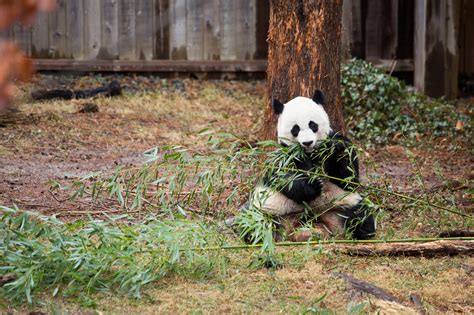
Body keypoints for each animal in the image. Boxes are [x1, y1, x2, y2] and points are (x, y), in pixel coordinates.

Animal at [250, 89, 376, 242]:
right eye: (295, 129)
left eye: (313, 125)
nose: (307, 142)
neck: (310, 153)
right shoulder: (283, 156)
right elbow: (283, 178)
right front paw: (313, 186)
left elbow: (348, 179)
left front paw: (338, 148)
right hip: (271, 207)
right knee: (255, 223)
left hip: (342, 203)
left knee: (360, 216)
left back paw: (361, 231)